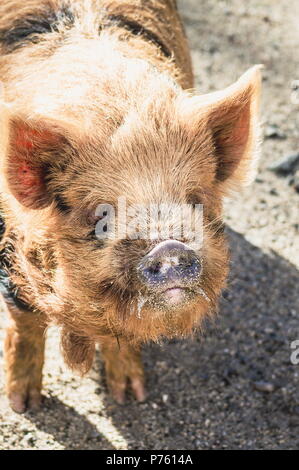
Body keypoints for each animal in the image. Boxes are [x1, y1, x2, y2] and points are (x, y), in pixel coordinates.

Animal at [0, 0, 262, 412]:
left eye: (194, 202)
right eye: (101, 217)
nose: (169, 246)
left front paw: (131, 396)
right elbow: (23, 320)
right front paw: (23, 405)